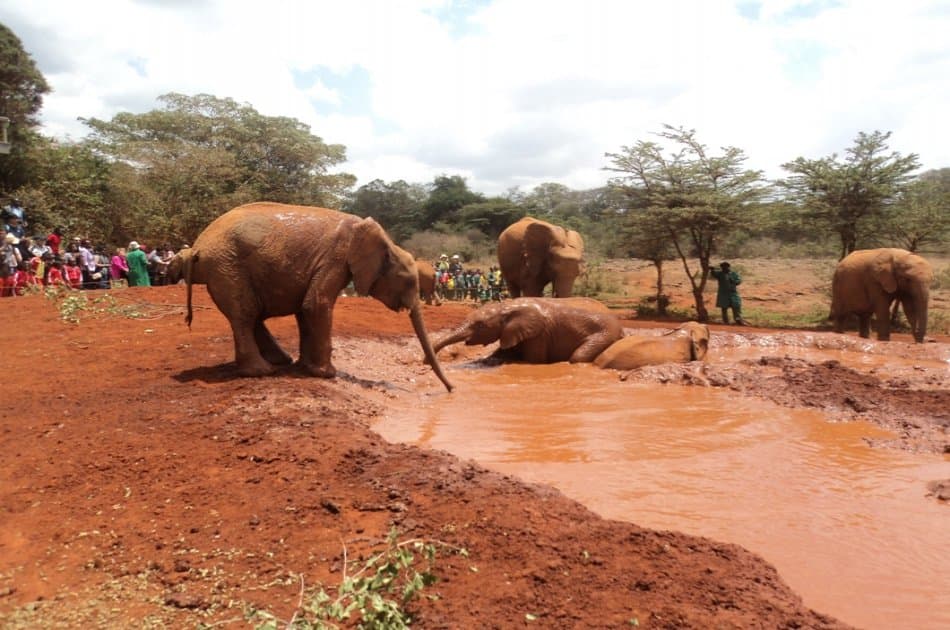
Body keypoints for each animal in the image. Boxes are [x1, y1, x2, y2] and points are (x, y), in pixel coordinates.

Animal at [177, 202, 453, 391]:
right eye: (409, 282)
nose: (451, 389)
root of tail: (197, 246)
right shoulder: (335, 258)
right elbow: (317, 304)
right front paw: (327, 374)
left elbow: (306, 308)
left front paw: (305, 368)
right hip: (227, 266)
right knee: (245, 314)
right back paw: (261, 371)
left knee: (251, 314)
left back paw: (281, 362)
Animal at [432, 297, 622, 364]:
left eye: (480, 325)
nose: (427, 361)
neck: (506, 306)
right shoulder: (514, 331)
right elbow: (502, 353)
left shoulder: (539, 335)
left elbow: (533, 360)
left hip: (606, 334)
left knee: (578, 357)